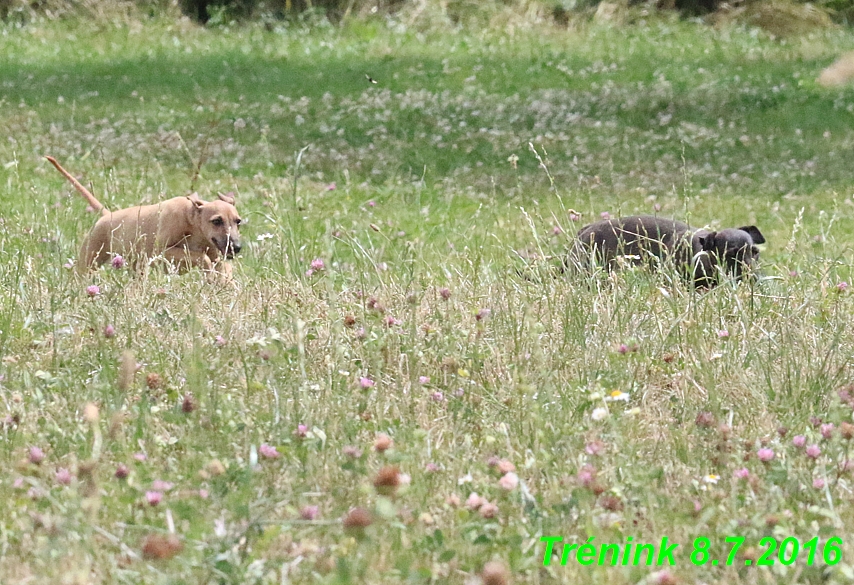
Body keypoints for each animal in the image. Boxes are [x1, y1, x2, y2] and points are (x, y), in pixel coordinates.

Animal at [45, 156, 242, 278]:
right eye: (216, 221)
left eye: (238, 222)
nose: (237, 247)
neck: (191, 219)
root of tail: (107, 215)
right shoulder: (161, 252)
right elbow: (202, 258)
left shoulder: (215, 254)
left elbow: (222, 266)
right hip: (90, 260)